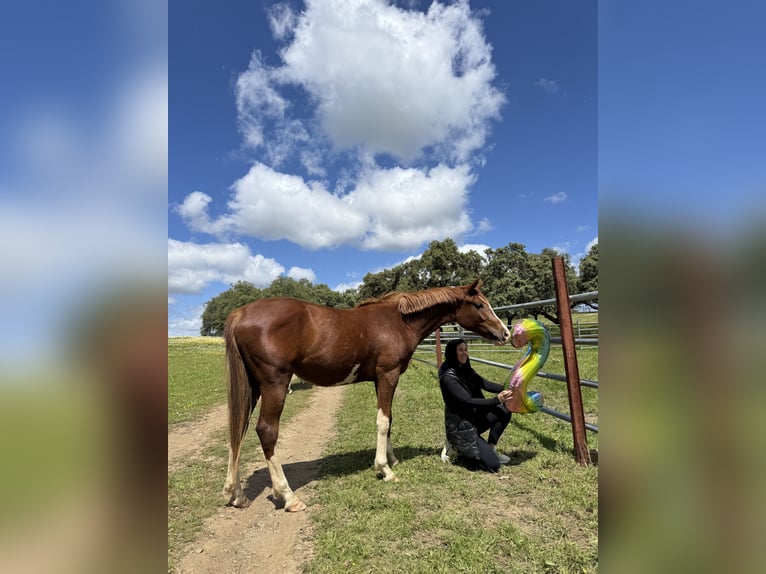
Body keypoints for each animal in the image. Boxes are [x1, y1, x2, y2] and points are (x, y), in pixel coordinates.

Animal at [222, 278, 510, 512]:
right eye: (479, 305)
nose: (505, 333)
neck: (396, 321)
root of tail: (240, 313)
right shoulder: (388, 375)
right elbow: (383, 421)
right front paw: (384, 469)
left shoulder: (380, 380)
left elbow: (389, 419)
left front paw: (392, 459)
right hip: (275, 385)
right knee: (266, 431)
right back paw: (288, 496)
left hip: (253, 388)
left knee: (239, 429)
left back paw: (235, 493)